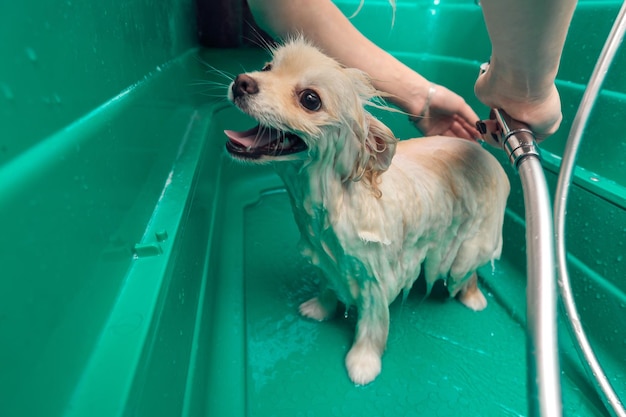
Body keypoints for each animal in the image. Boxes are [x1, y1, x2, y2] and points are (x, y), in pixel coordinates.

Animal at [222, 37, 510, 386]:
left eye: (310, 100)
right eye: (267, 67)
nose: (242, 82)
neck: (339, 198)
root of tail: (483, 153)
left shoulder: (377, 278)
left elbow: (372, 325)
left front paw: (363, 362)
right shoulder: (328, 257)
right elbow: (327, 285)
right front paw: (320, 309)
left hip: (471, 242)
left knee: (467, 273)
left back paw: (472, 299)